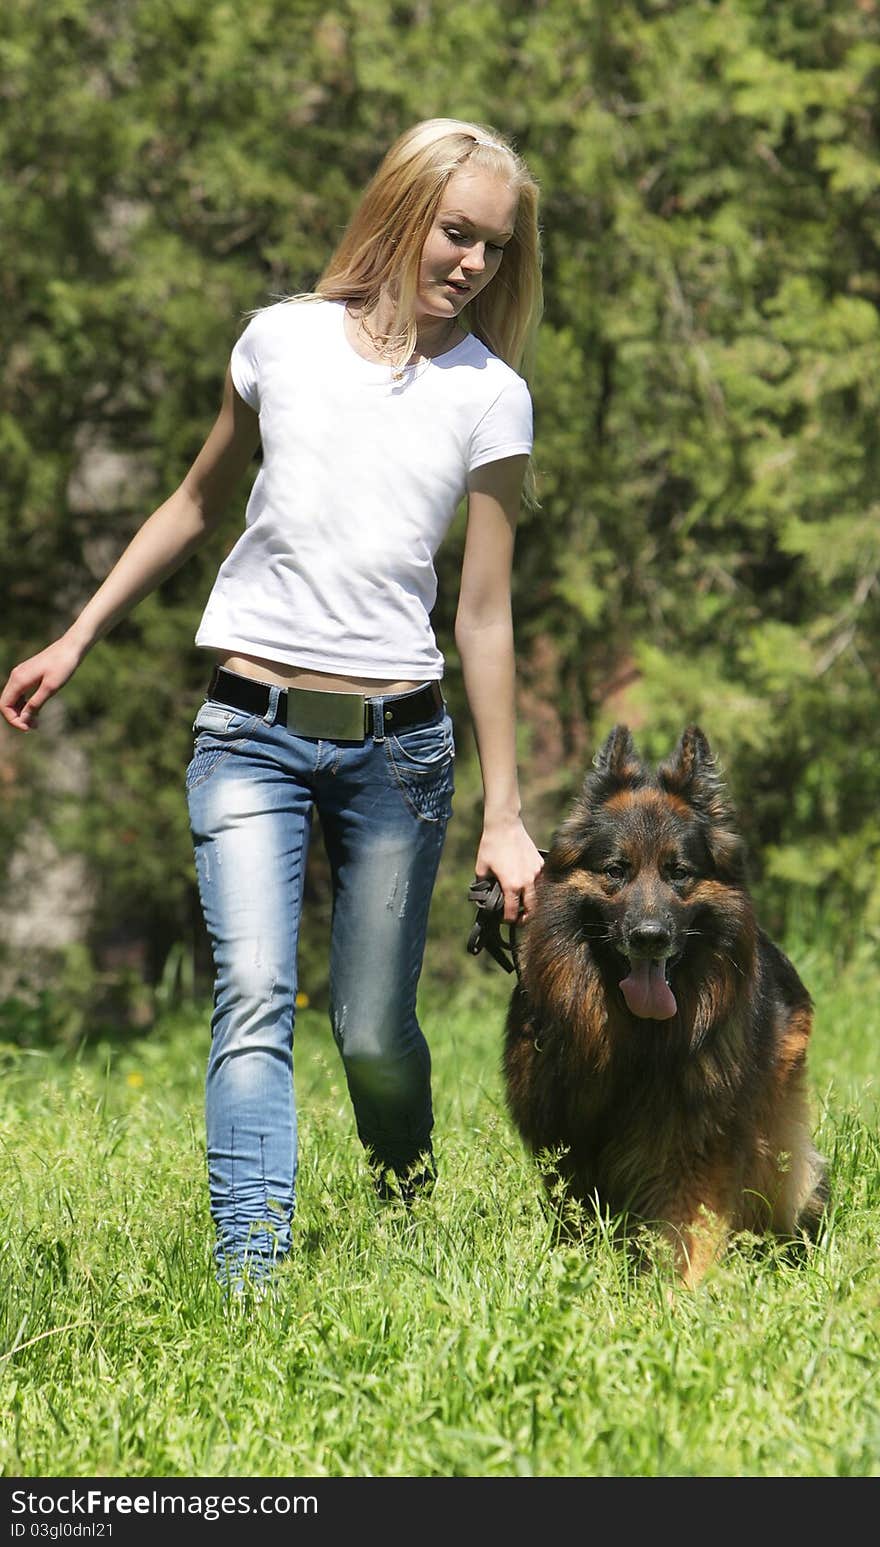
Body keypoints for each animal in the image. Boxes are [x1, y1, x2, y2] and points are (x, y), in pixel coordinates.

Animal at [504, 730, 828, 1287]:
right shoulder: (567, 1145)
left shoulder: (695, 1146)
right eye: (617, 870)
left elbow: (687, 1232)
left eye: (679, 872)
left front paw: (678, 1297)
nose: (650, 937)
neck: (634, 1041)